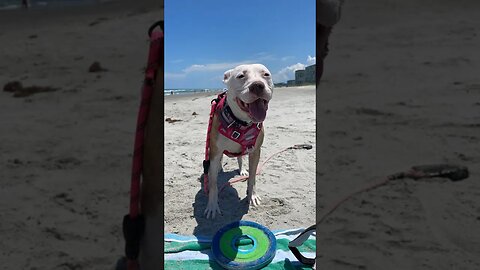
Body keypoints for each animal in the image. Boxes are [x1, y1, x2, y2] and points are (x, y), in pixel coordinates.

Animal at [203, 63, 274, 219]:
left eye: (266, 74)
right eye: (241, 76)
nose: (257, 85)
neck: (240, 123)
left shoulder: (255, 151)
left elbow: (253, 177)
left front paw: (252, 196)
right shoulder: (215, 151)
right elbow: (213, 184)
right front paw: (212, 206)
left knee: (240, 158)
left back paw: (242, 170)